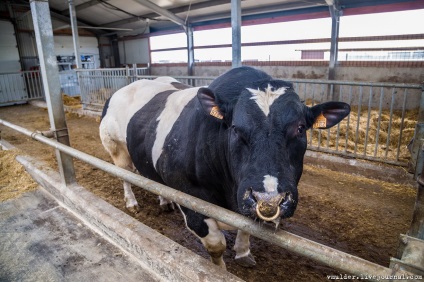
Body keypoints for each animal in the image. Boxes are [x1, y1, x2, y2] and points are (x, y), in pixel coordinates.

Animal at [100, 66, 352, 268]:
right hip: (117, 149)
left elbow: (246, 227)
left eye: (300, 128)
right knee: (125, 176)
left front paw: (243, 252)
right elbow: (216, 245)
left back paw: (164, 201)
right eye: (235, 128)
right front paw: (220, 270)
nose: (269, 200)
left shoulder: (244, 199)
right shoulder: (190, 200)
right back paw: (131, 202)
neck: (228, 193)